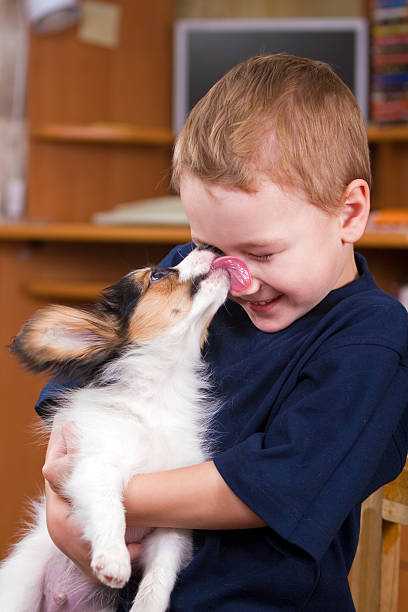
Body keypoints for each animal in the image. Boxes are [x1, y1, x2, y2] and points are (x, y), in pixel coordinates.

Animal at [0, 247, 231, 612]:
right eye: (156, 276)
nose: (211, 248)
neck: (157, 399)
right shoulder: (93, 468)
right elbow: (110, 509)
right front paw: (113, 558)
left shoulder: (171, 526)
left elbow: (160, 574)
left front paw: (148, 604)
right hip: (21, 588)